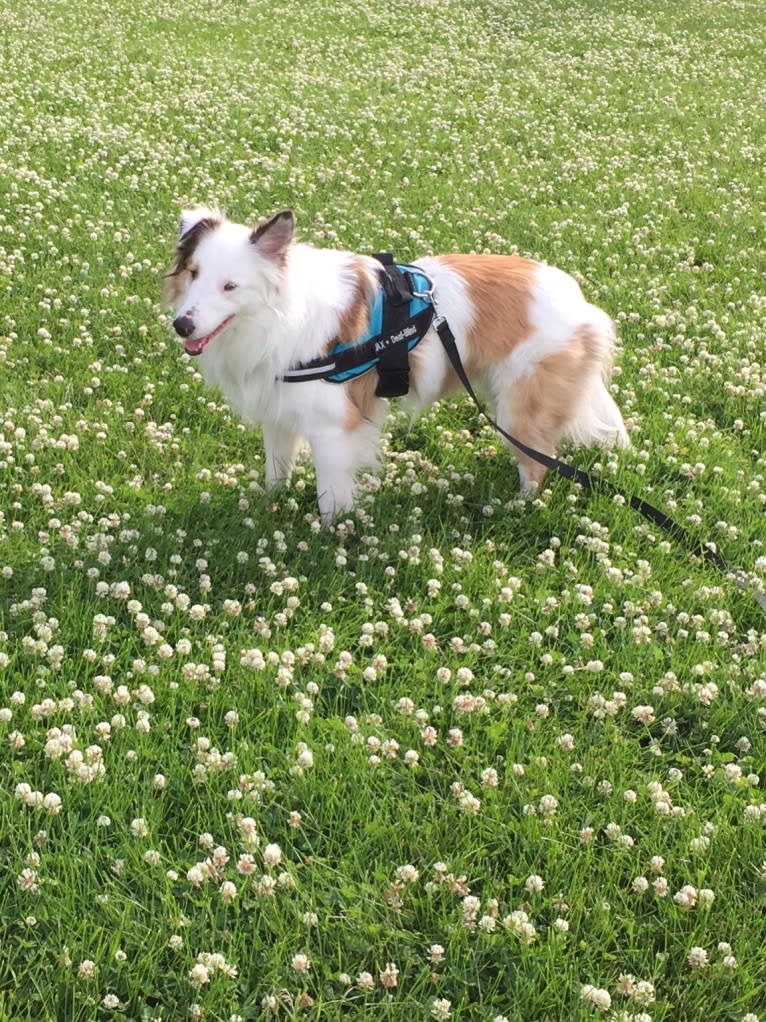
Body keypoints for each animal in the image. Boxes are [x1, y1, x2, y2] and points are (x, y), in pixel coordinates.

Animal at [163, 210, 629, 523]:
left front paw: (331, 535)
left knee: (537, 463)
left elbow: (331, 496)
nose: (181, 325)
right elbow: (276, 471)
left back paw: (519, 505)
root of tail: (583, 305)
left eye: (230, 286)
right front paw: (266, 506)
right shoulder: (279, 414)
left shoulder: (334, 428)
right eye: (193, 273)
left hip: (519, 408)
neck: (276, 315)